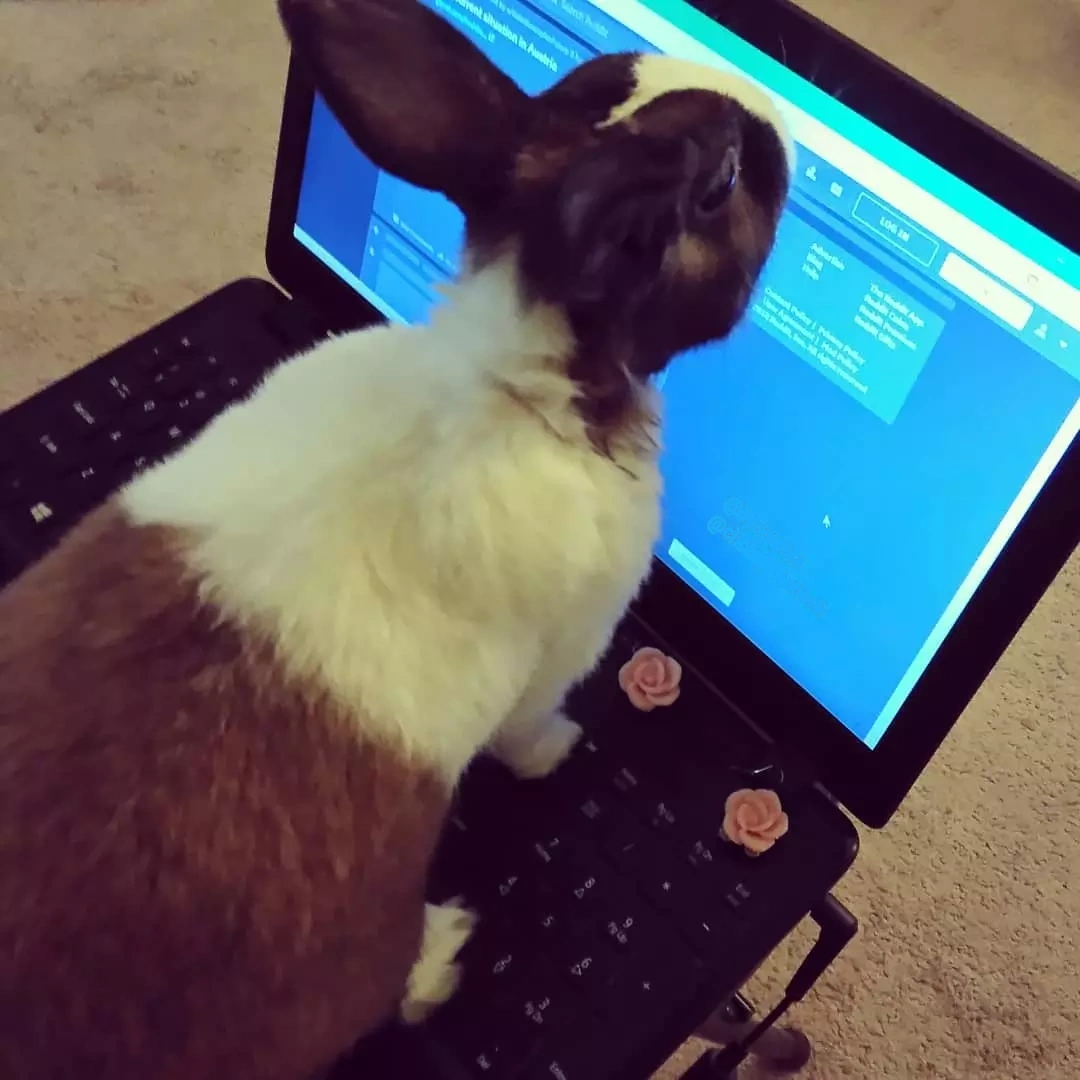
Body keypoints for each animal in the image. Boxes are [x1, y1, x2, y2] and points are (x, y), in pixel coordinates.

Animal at [0, 1, 794, 1077]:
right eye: (719, 186)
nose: (771, 120)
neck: (512, 376)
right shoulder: (565, 650)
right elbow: (531, 730)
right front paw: (563, 751)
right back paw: (446, 950)